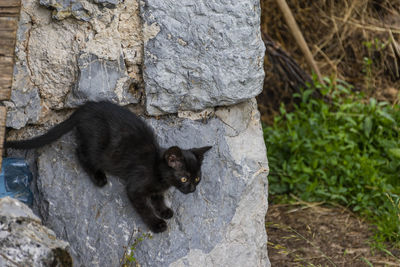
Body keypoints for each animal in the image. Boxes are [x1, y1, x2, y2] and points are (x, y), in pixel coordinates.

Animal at [4, 101, 211, 233]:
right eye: (184, 178)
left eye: (197, 178)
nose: (192, 189)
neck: (158, 171)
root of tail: (85, 108)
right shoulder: (135, 188)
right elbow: (144, 207)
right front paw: (156, 223)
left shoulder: (157, 188)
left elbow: (158, 198)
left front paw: (164, 210)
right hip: (98, 147)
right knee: (80, 152)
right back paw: (99, 178)